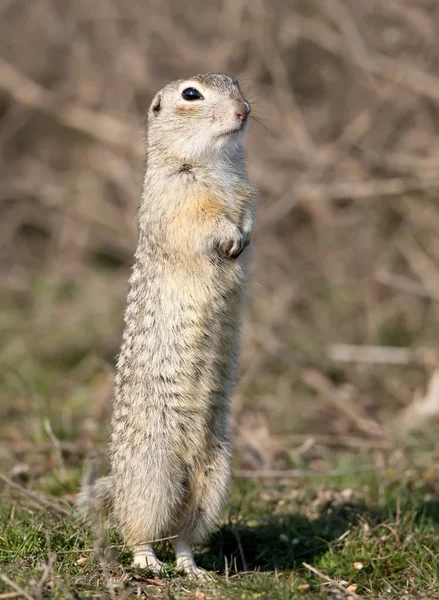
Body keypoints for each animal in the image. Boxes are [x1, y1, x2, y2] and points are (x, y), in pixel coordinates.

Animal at [78, 72, 258, 580]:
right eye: (191, 95)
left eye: (236, 82)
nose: (244, 111)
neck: (211, 160)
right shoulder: (177, 200)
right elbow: (200, 222)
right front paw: (230, 236)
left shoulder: (246, 191)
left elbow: (248, 212)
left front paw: (245, 233)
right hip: (153, 475)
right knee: (140, 531)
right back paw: (149, 563)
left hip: (215, 480)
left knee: (182, 535)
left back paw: (193, 568)